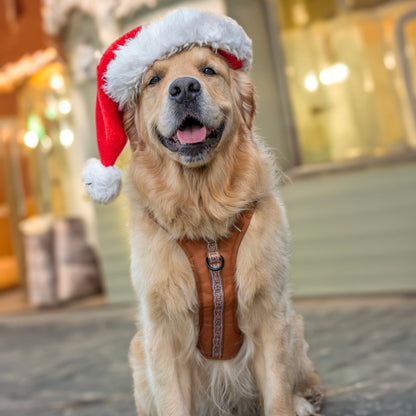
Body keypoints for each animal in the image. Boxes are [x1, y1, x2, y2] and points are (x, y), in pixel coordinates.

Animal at [122, 44, 324, 414]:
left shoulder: (269, 311)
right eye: (154, 79)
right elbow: (172, 401)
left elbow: (277, 395)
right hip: (138, 351)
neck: (204, 213)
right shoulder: (163, 330)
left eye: (209, 70)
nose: (184, 88)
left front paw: (289, 402)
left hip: (293, 325)